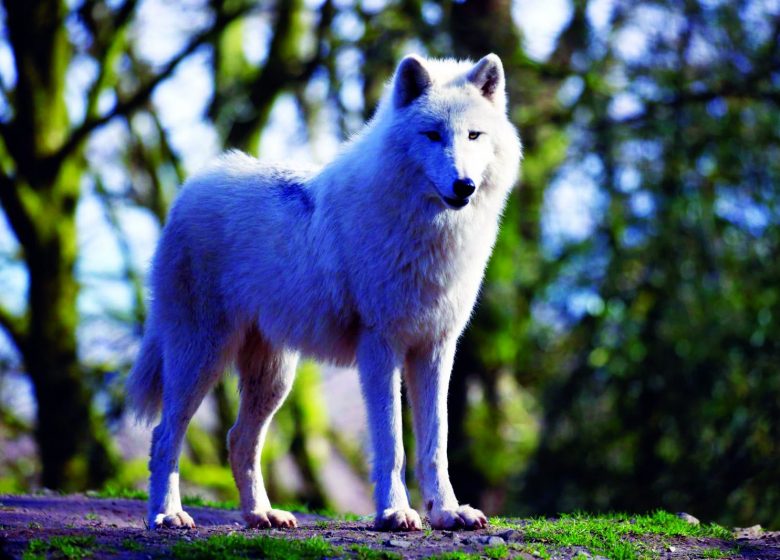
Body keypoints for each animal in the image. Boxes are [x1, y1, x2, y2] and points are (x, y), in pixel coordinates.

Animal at [126, 53, 521, 532]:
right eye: (432, 135)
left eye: (474, 135)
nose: (464, 186)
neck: (429, 233)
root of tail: (189, 189)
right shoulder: (380, 348)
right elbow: (392, 443)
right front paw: (395, 512)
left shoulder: (436, 349)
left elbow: (435, 445)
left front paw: (447, 512)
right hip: (200, 357)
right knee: (165, 435)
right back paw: (166, 514)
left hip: (273, 378)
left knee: (239, 439)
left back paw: (261, 514)